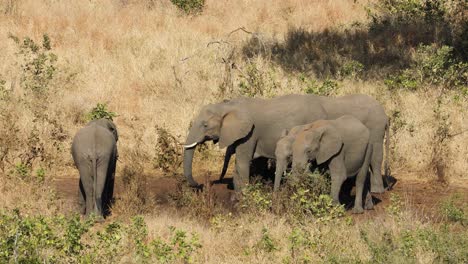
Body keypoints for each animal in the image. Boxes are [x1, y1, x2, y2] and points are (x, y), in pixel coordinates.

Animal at [181, 94, 390, 193]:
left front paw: (242, 196)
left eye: (205, 125)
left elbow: (242, 162)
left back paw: (377, 191)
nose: (199, 185)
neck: (229, 105)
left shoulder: (250, 134)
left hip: (376, 129)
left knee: (376, 157)